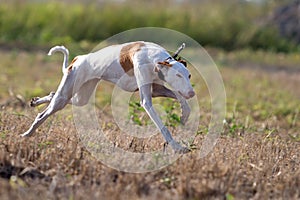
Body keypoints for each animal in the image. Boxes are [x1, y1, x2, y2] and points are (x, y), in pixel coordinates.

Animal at [21, 41, 195, 153]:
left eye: (189, 75)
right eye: (178, 75)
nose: (192, 93)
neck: (153, 57)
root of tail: (77, 59)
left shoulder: (156, 89)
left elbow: (180, 97)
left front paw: (184, 114)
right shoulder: (147, 99)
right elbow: (162, 127)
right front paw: (177, 147)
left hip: (80, 97)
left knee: (54, 95)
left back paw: (36, 101)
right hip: (64, 97)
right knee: (42, 114)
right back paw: (27, 133)